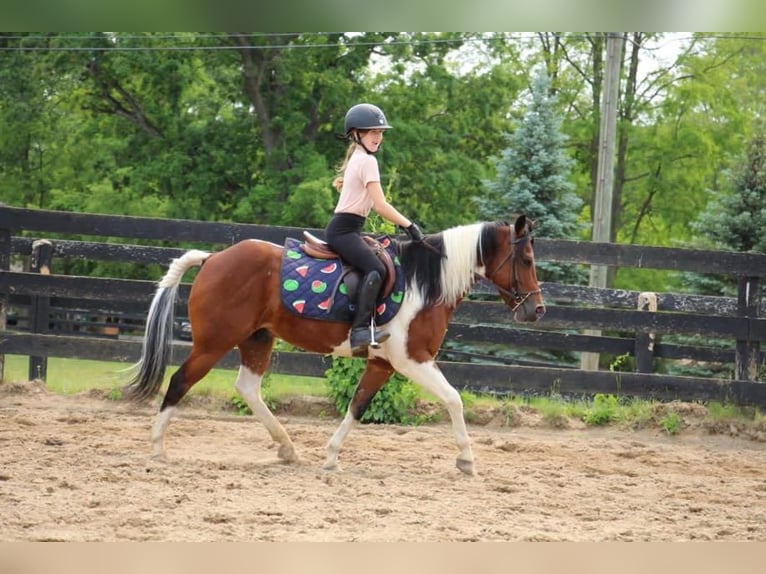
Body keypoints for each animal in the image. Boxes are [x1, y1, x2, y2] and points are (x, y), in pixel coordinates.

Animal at [126, 216, 544, 476]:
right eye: (526, 259)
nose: (537, 310)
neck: (426, 284)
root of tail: (213, 258)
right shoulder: (413, 360)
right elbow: (454, 399)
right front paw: (467, 460)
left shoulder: (384, 364)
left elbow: (357, 406)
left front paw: (330, 457)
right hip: (214, 343)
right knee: (179, 381)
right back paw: (157, 448)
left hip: (256, 339)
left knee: (247, 388)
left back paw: (287, 447)